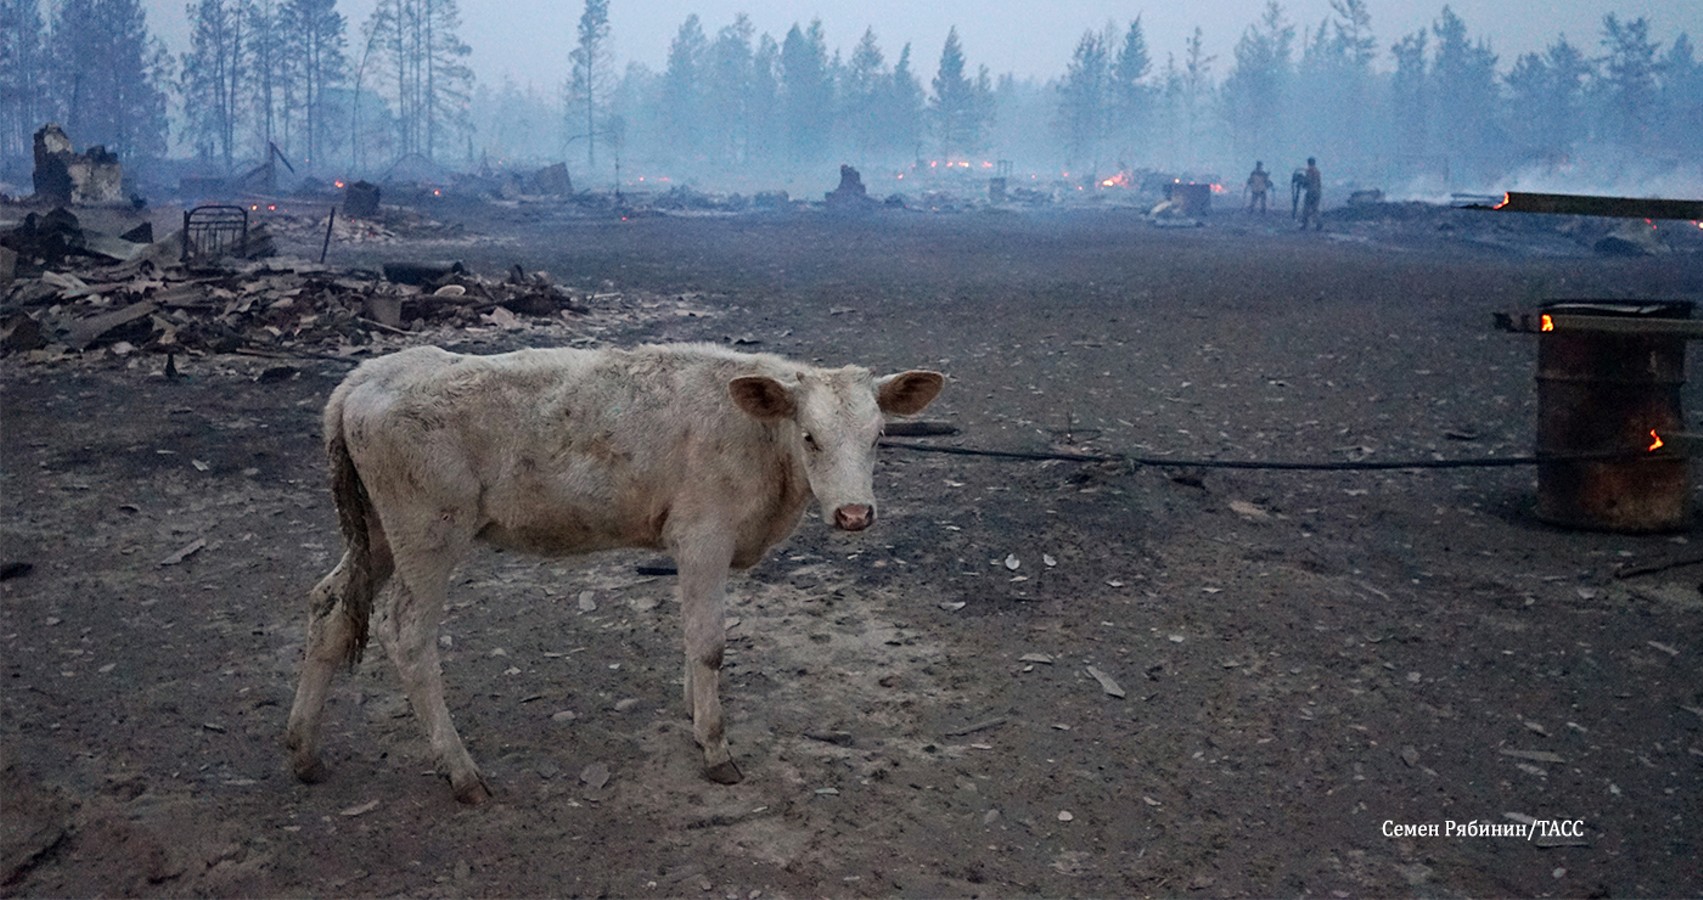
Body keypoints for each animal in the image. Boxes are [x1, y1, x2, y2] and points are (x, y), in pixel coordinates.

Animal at [282, 342, 946, 801]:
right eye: (809, 437)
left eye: (879, 436)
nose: (854, 514)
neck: (757, 440)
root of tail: (365, 378)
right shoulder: (704, 535)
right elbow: (709, 643)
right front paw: (715, 748)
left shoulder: (690, 546)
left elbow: (689, 636)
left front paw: (692, 716)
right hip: (428, 532)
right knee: (408, 634)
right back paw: (462, 773)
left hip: (376, 532)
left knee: (330, 605)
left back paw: (305, 753)